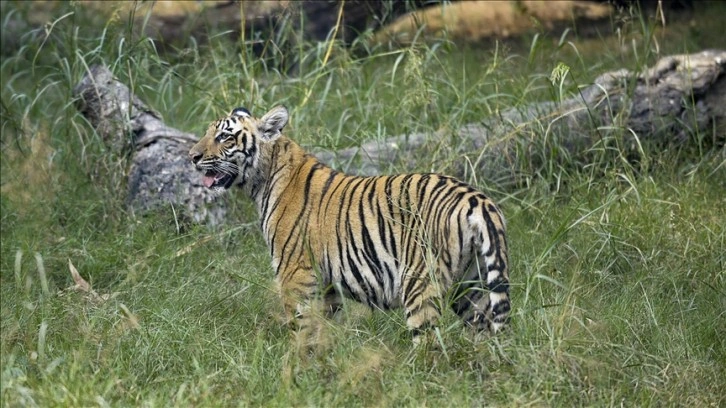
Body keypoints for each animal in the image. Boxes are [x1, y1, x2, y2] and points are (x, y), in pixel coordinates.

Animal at [191, 106, 516, 344]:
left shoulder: (295, 274)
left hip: (420, 281)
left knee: (430, 344)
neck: (263, 179)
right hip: (472, 285)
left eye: (224, 137)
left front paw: (297, 368)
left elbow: (300, 327)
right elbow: (322, 327)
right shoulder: (326, 286)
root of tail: (477, 199)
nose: (192, 157)